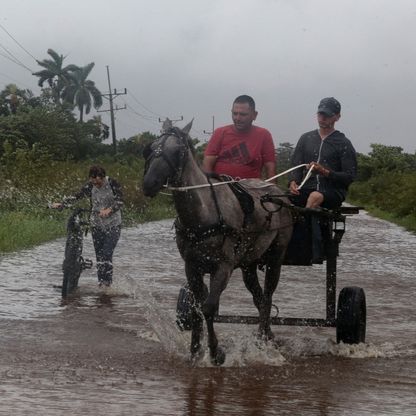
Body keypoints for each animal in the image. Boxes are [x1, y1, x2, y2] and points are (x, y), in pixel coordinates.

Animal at [143, 119, 292, 364]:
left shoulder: (223, 267)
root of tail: (276, 191)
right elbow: (196, 309)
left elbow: (209, 308)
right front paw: (195, 350)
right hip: (248, 264)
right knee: (259, 299)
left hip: (276, 257)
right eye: (150, 148)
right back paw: (267, 335)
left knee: (268, 297)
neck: (203, 214)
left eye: (178, 151)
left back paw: (262, 339)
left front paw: (215, 352)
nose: (149, 183)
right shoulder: (192, 267)